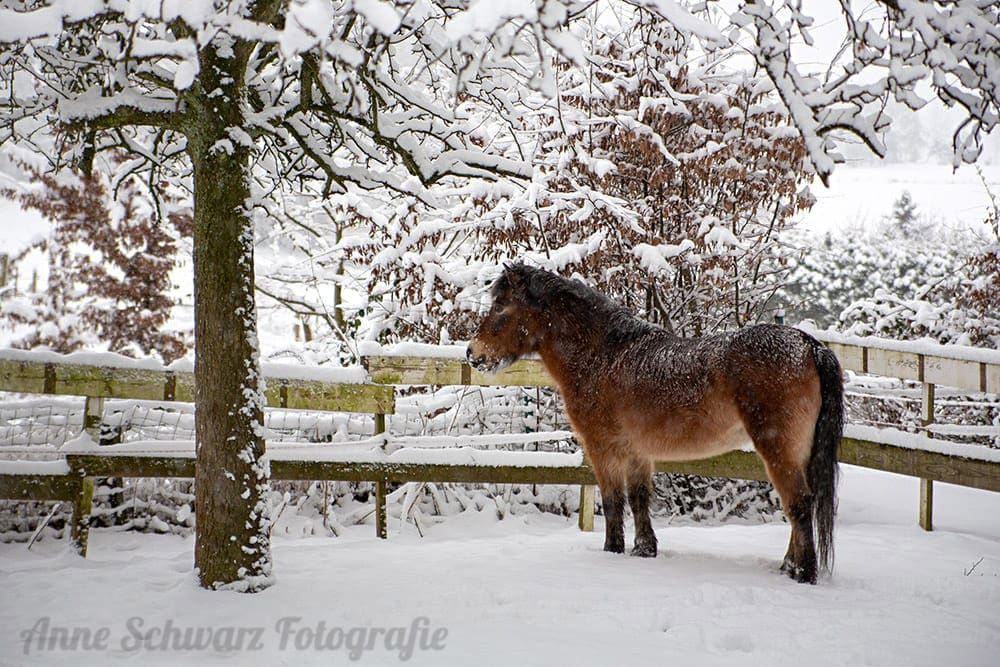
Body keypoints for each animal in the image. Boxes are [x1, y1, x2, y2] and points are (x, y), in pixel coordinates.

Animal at [466, 263, 844, 584]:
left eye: (500, 307)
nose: (473, 353)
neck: (604, 356)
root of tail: (810, 346)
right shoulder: (637, 452)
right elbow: (639, 499)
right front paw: (644, 550)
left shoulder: (603, 449)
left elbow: (613, 502)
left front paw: (612, 551)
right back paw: (788, 567)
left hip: (777, 446)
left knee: (799, 504)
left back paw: (804, 574)